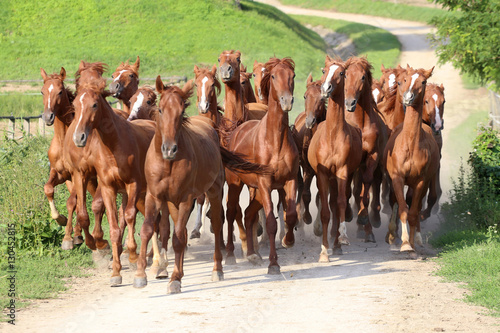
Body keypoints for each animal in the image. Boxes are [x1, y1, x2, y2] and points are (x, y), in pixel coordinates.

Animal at [66, 79, 156, 284]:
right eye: (74, 105)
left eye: (94, 104)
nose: (79, 137)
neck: (115, 145)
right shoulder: (106, 187)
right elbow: (112, 226)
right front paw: (115, 271)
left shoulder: (133, 185)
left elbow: (130, 217)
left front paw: (132, 256)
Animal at [225, 56, 298, 272]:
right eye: (273, 76)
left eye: (292, 75)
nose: (286, 101)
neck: (275, 140)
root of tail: (236, 130)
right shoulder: (265, 184)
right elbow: (271, 222)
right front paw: (273, 264)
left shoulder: (289, 180)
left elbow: (290, 215)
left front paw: (288, 241)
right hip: (236, 183)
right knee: (231, 212)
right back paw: (230, 255)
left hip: (256, 190)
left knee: (249, 214)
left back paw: (252, 254)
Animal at [306, 55, 362, 260]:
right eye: (324, 71)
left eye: (342, 72)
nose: (326, 88)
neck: (331, 136)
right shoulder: (322, 174)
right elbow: (325, 211)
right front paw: (324, 252)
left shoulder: (342, 172)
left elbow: (340, 205)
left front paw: (340, 241)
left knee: (338, 205)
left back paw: (337, 242)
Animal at [382, 66, 438, 250]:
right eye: (405, 80)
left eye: (423, 81)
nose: (408, 98)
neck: (411, 145)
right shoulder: (397, 178)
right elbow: (403, 210)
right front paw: (405, 243)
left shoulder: (420, 181)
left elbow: (413, 212)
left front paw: (412, 242)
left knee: (417, 206)